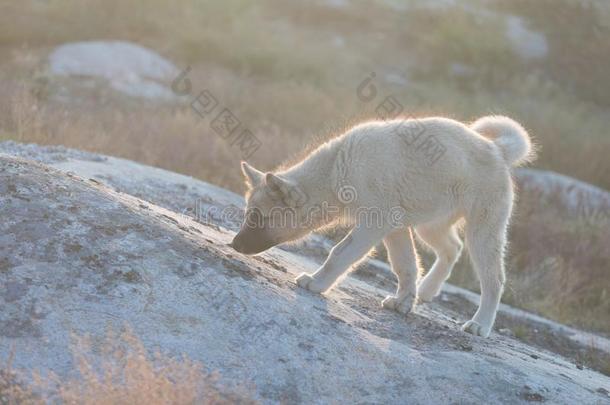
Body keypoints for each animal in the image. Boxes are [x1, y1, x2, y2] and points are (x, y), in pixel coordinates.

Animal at [232, 115, 532, 336]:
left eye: (259, 217)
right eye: (249, 214)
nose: (234, 244)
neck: (335, 172)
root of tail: (497, 149)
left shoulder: (374, 225)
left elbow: (338, 255)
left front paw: (316, 283)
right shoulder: (395, 228)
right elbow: (405, 266)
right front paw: (404, 302)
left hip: (482, 232)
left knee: (494, 279)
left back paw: (480, 325)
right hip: (430, 226)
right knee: (452, 249)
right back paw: (427, 290)